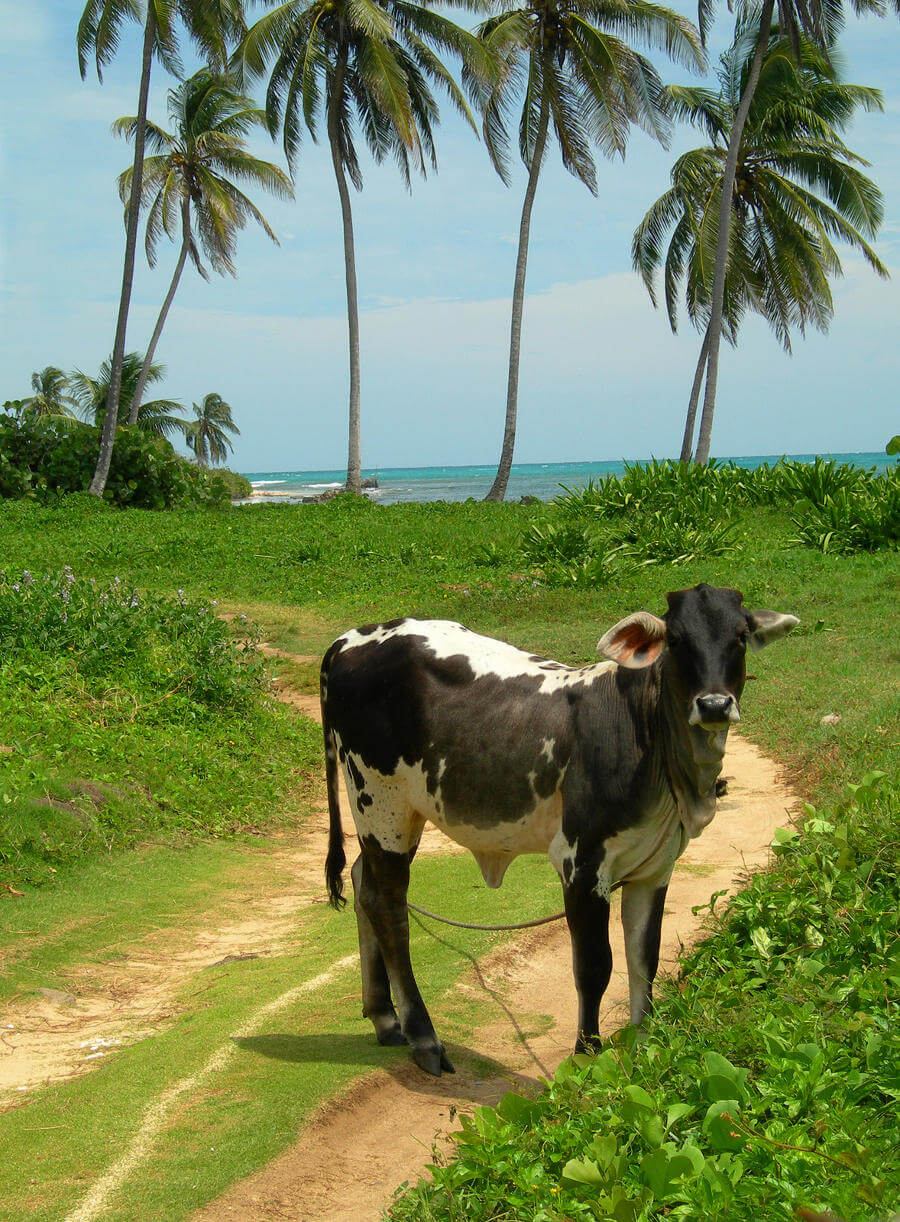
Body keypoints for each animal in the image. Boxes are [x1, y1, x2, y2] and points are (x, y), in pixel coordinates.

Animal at [320, 586, 797, 1075]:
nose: (714, 705)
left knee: (363, 883)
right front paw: (587, 1054)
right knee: (389, 907)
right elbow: (594, 966)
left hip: (384, 819)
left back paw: (384, 1017)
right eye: (677, 640)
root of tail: (347, 641)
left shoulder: (655, 868)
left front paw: (645, 1049)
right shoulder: (581, 864)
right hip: (382, 806)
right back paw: (423, 1038)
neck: (646, 732)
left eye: (740, 636)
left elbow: (644, 957)